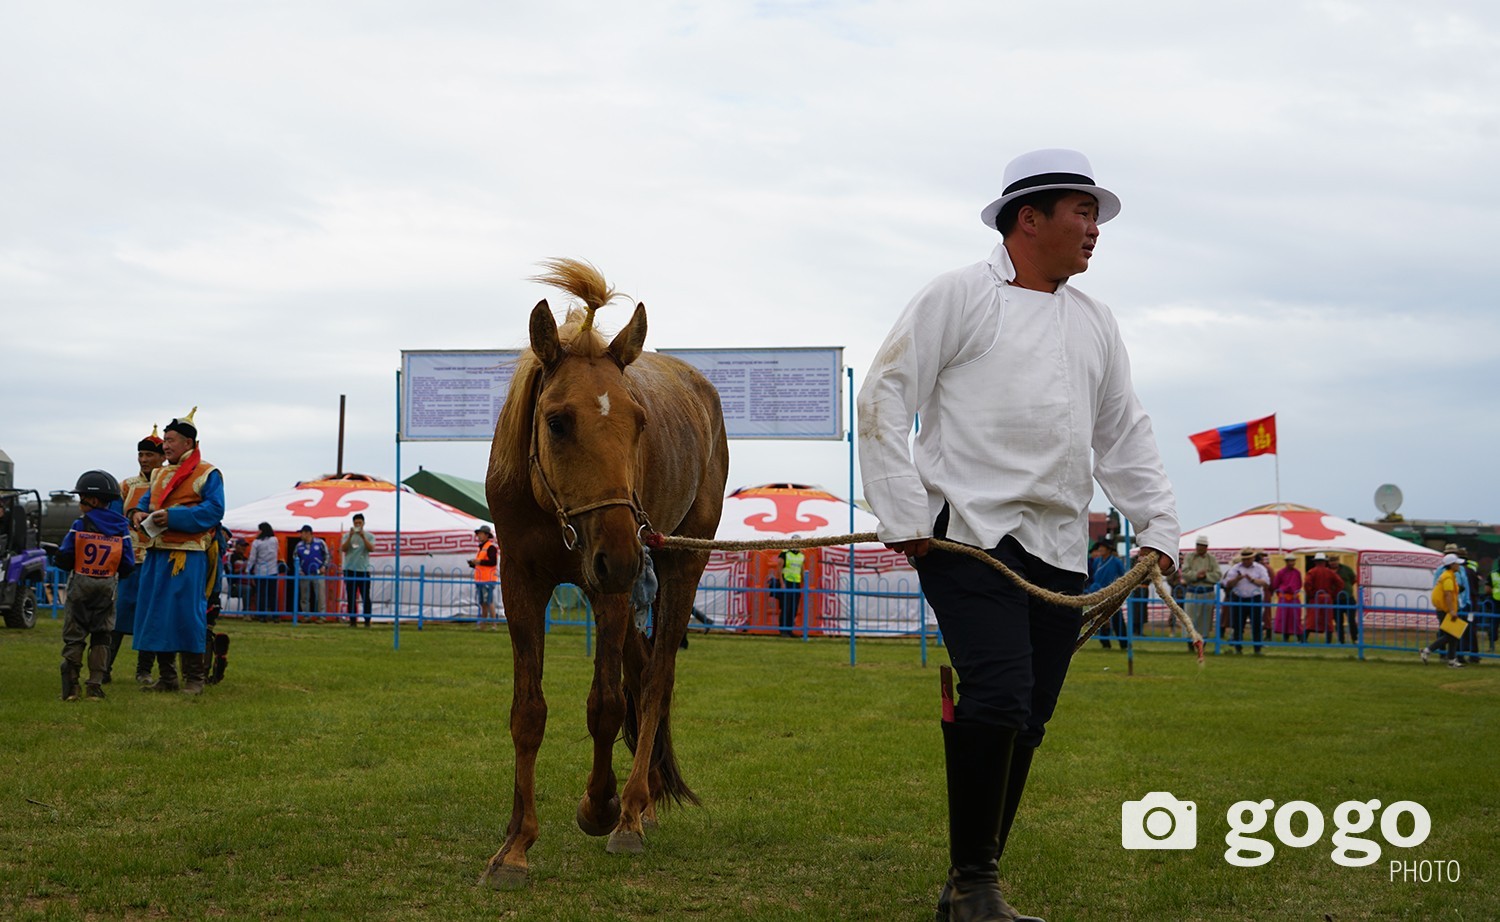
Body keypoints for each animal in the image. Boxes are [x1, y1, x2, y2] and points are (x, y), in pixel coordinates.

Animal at [480, 258, 729, 889]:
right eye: (557, 422)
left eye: (639, 422)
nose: (619, 554)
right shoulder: (520, 584)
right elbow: (528, 712)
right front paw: (515, 844)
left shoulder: (609, 591)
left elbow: (606, 705)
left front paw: (601, 806)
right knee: (642, 673)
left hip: (676, 563)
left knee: (657, 678)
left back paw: (633, 809)